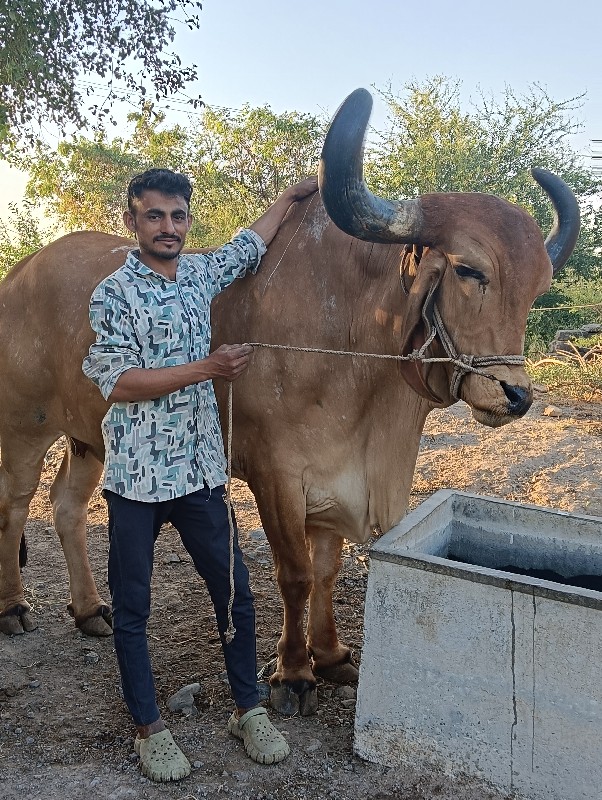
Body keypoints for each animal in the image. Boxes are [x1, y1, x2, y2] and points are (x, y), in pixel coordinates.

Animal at [1, 89, 580, 720]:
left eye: (538, 288)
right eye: (471, 270)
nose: (515, 395)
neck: (352, 343)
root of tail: (21, 271)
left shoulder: (334, 480)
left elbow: (326, 570)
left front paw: (330, 656)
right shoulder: (277, 477)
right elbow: (296, 574)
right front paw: (294, 673)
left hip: (88, 438)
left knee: (67, 508)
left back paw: (88, 610)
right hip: (24, 427)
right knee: (15, 504)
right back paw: (13, 607)